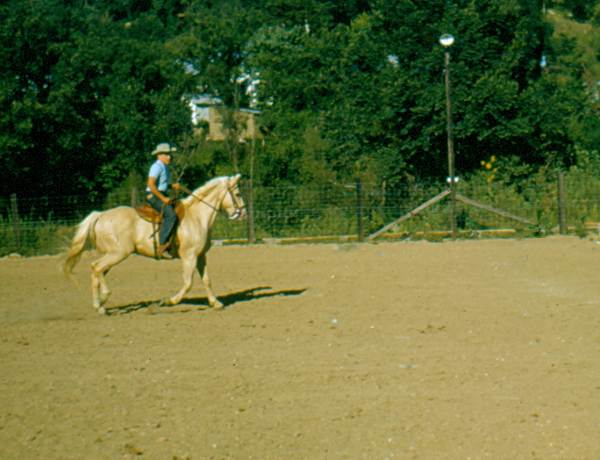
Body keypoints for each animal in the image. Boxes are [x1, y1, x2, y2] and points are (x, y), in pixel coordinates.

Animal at [61, 174, 246, 314]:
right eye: (237, 194)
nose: (243, 213)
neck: (197, 217)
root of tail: (100, 215)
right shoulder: (189, 256)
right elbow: (188, 283)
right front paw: (168, 301)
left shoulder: (200, 256)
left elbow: (207, 280)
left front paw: (216, 303)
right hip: (118, 253)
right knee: (97, 268)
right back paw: (103, 299)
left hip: (112, 255)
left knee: (96, 270)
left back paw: (99, 305)